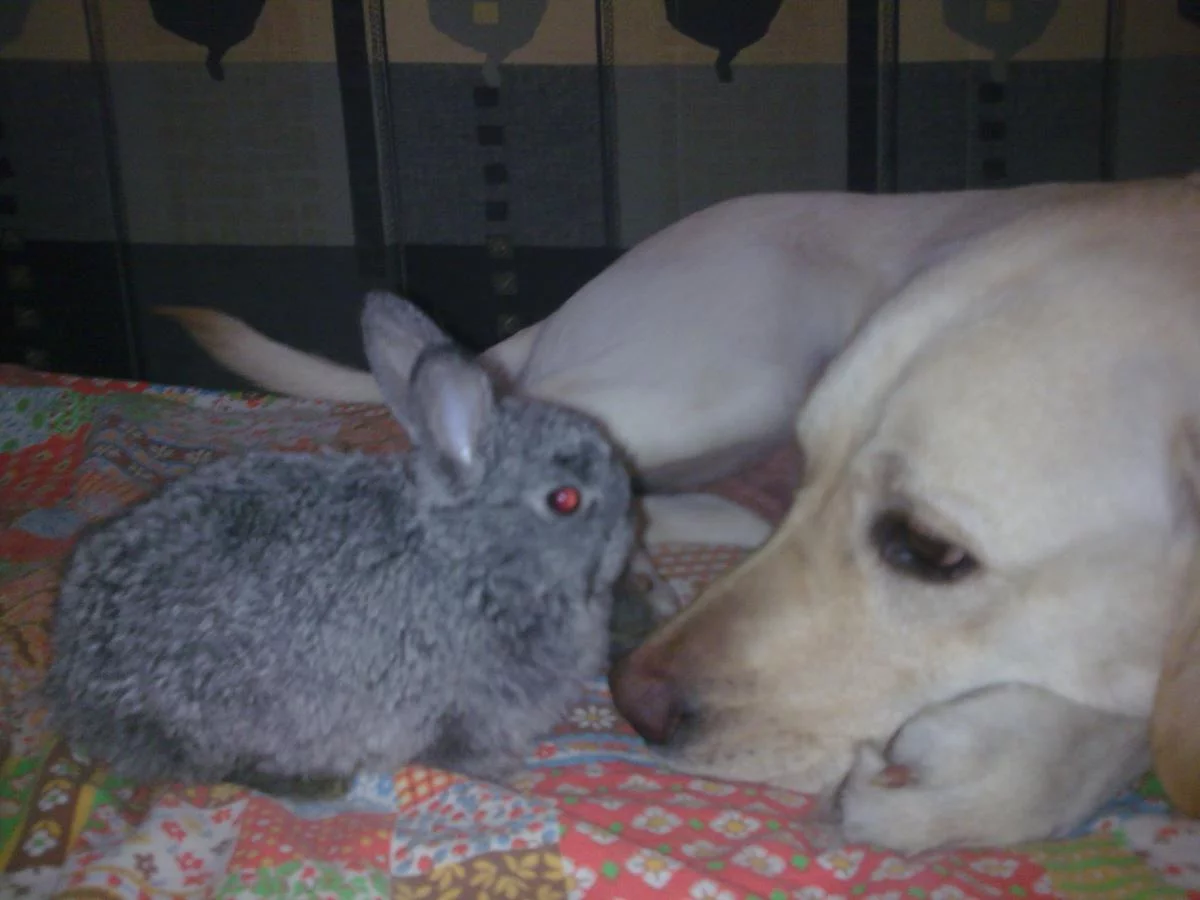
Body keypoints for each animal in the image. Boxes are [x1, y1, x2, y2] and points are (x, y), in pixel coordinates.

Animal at [44, 290, 636, 794]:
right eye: (564, 499)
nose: (629, 528)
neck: (472, 556)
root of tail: (72, 677)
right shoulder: (458, 708)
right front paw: (511, 780)